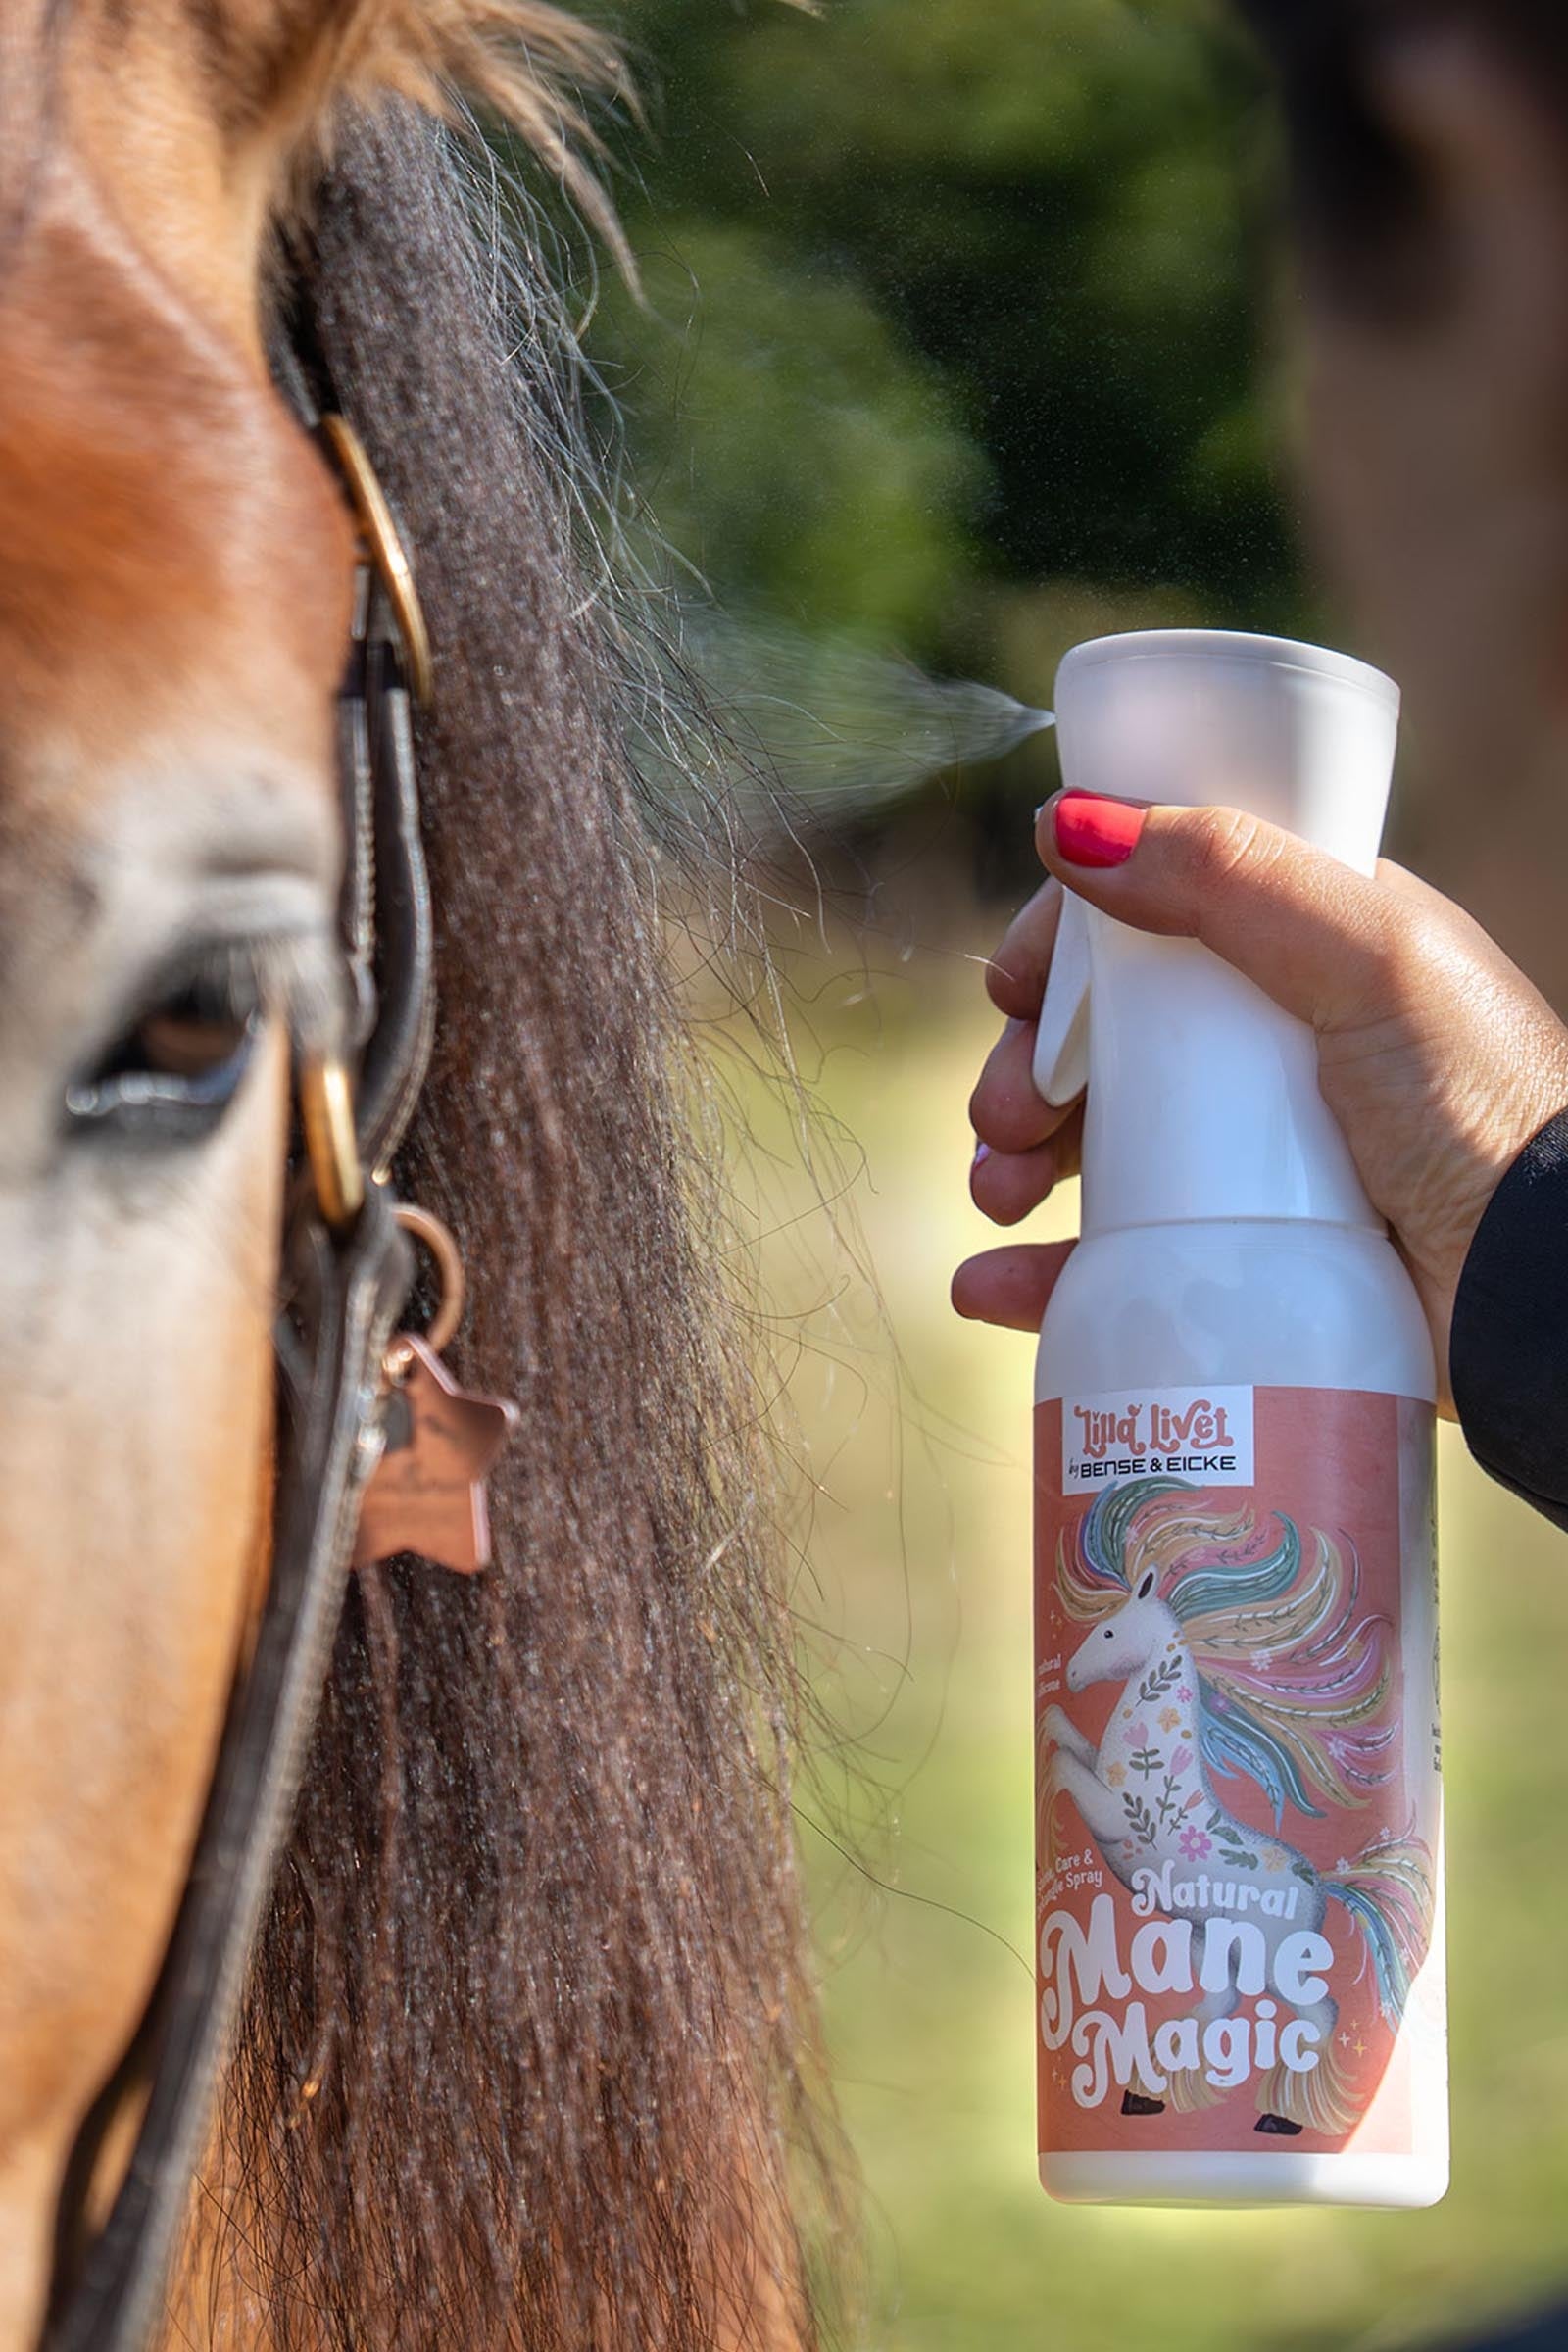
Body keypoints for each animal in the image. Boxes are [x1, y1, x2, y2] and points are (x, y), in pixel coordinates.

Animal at [1040, 1478, 1434, 2135]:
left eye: (1112, 1633)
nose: (1069, 1672)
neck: (1152, 1759)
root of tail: (1324, 1884)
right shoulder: (1099, 1772)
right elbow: (1063, 1737)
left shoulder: (1114, 1814)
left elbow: (1063, 1768)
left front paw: (1048, 1830)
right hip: (1211, 1943)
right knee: (1220, 2003)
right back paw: (1145, 2092)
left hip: (1273, 1958)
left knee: (1320, 2014)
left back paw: (1281, 2116)